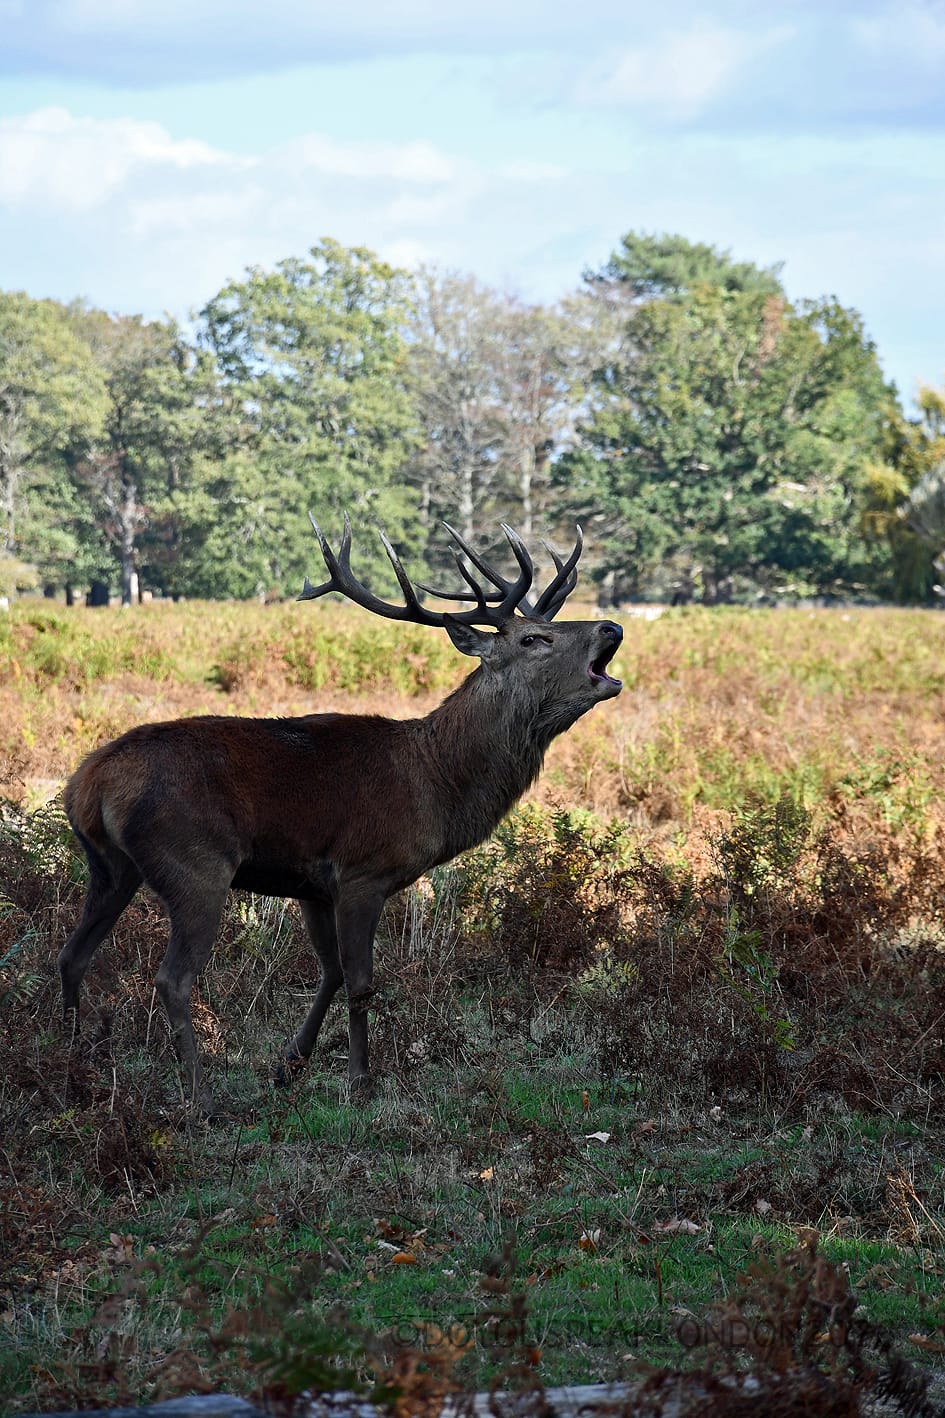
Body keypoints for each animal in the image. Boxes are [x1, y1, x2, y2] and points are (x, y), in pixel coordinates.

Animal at [59, 517, 623, 1115]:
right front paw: (359, 1081)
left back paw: (70, 1065)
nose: (611, 628)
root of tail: (88, 782)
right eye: (533, 639)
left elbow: (327, 973)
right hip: (194, 865)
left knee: (72, 955)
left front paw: (289, 1065)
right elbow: (359, 982)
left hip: (111, 868)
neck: (435, 786)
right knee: (172, 979)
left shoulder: (311, 884)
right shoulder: (363, 873)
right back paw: (199, 1096)